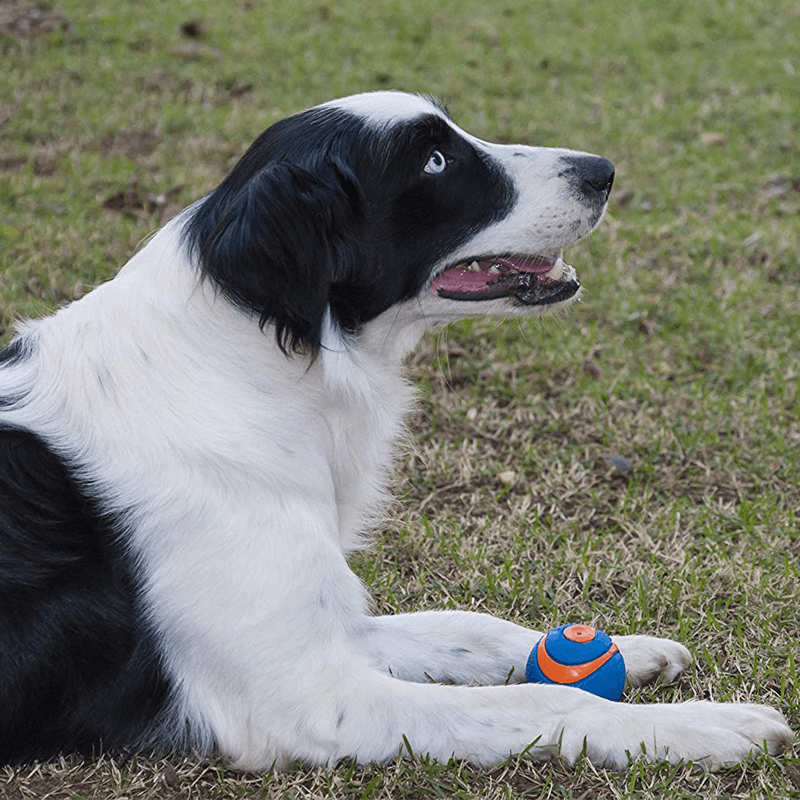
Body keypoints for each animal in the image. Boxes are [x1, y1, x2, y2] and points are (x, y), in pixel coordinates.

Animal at [0, 92, 792, 768]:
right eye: (434, 162)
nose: (603, 171)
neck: (244, 361)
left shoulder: (336, 625)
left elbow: (472, 628)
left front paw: (632, 647)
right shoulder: (304, 696)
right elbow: (544, 702)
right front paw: (707, 725)